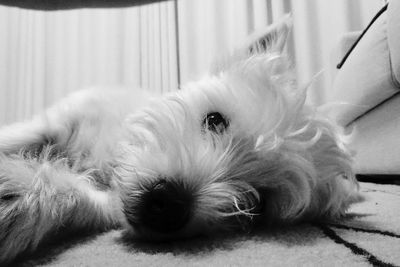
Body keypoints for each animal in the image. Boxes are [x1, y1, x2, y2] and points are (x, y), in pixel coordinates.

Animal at [0, 17, 360, 264]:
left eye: (257, 202)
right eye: (214, 119)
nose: (169, 204)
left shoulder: (108, 205)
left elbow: (83, 197)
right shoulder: (59, 120)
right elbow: (19, 134)